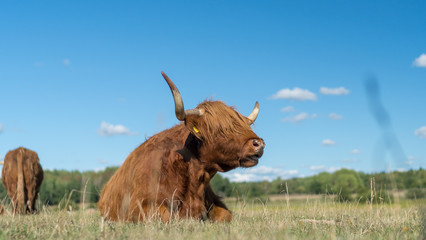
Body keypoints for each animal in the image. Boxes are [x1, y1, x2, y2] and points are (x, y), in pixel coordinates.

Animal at [98, 71, 264, 223]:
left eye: (244, 125)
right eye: (218, 130)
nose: (258, 143)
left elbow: (226, 216)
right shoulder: (141, 205)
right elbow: (166, 217)